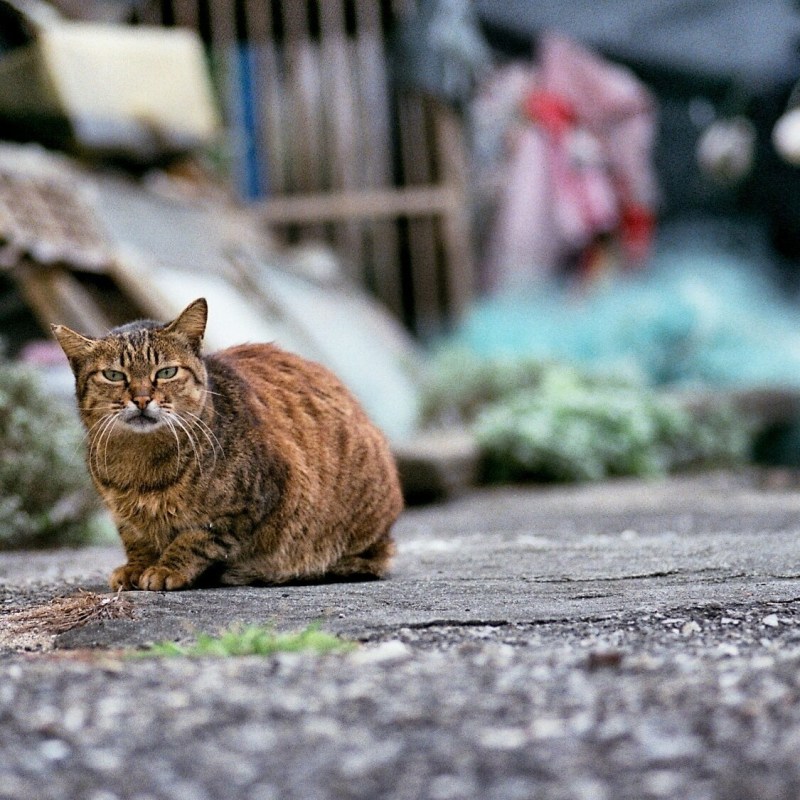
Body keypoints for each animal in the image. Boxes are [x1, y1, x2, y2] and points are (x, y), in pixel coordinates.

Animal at [51, 296, 400, 592]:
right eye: (113, 375)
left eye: (166, 372)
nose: (141, 399)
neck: (142, 467)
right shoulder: (124, 518)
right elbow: (136, 539)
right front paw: (136, 566)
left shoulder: (250, 505)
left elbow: (196, 538)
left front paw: (166, 568)